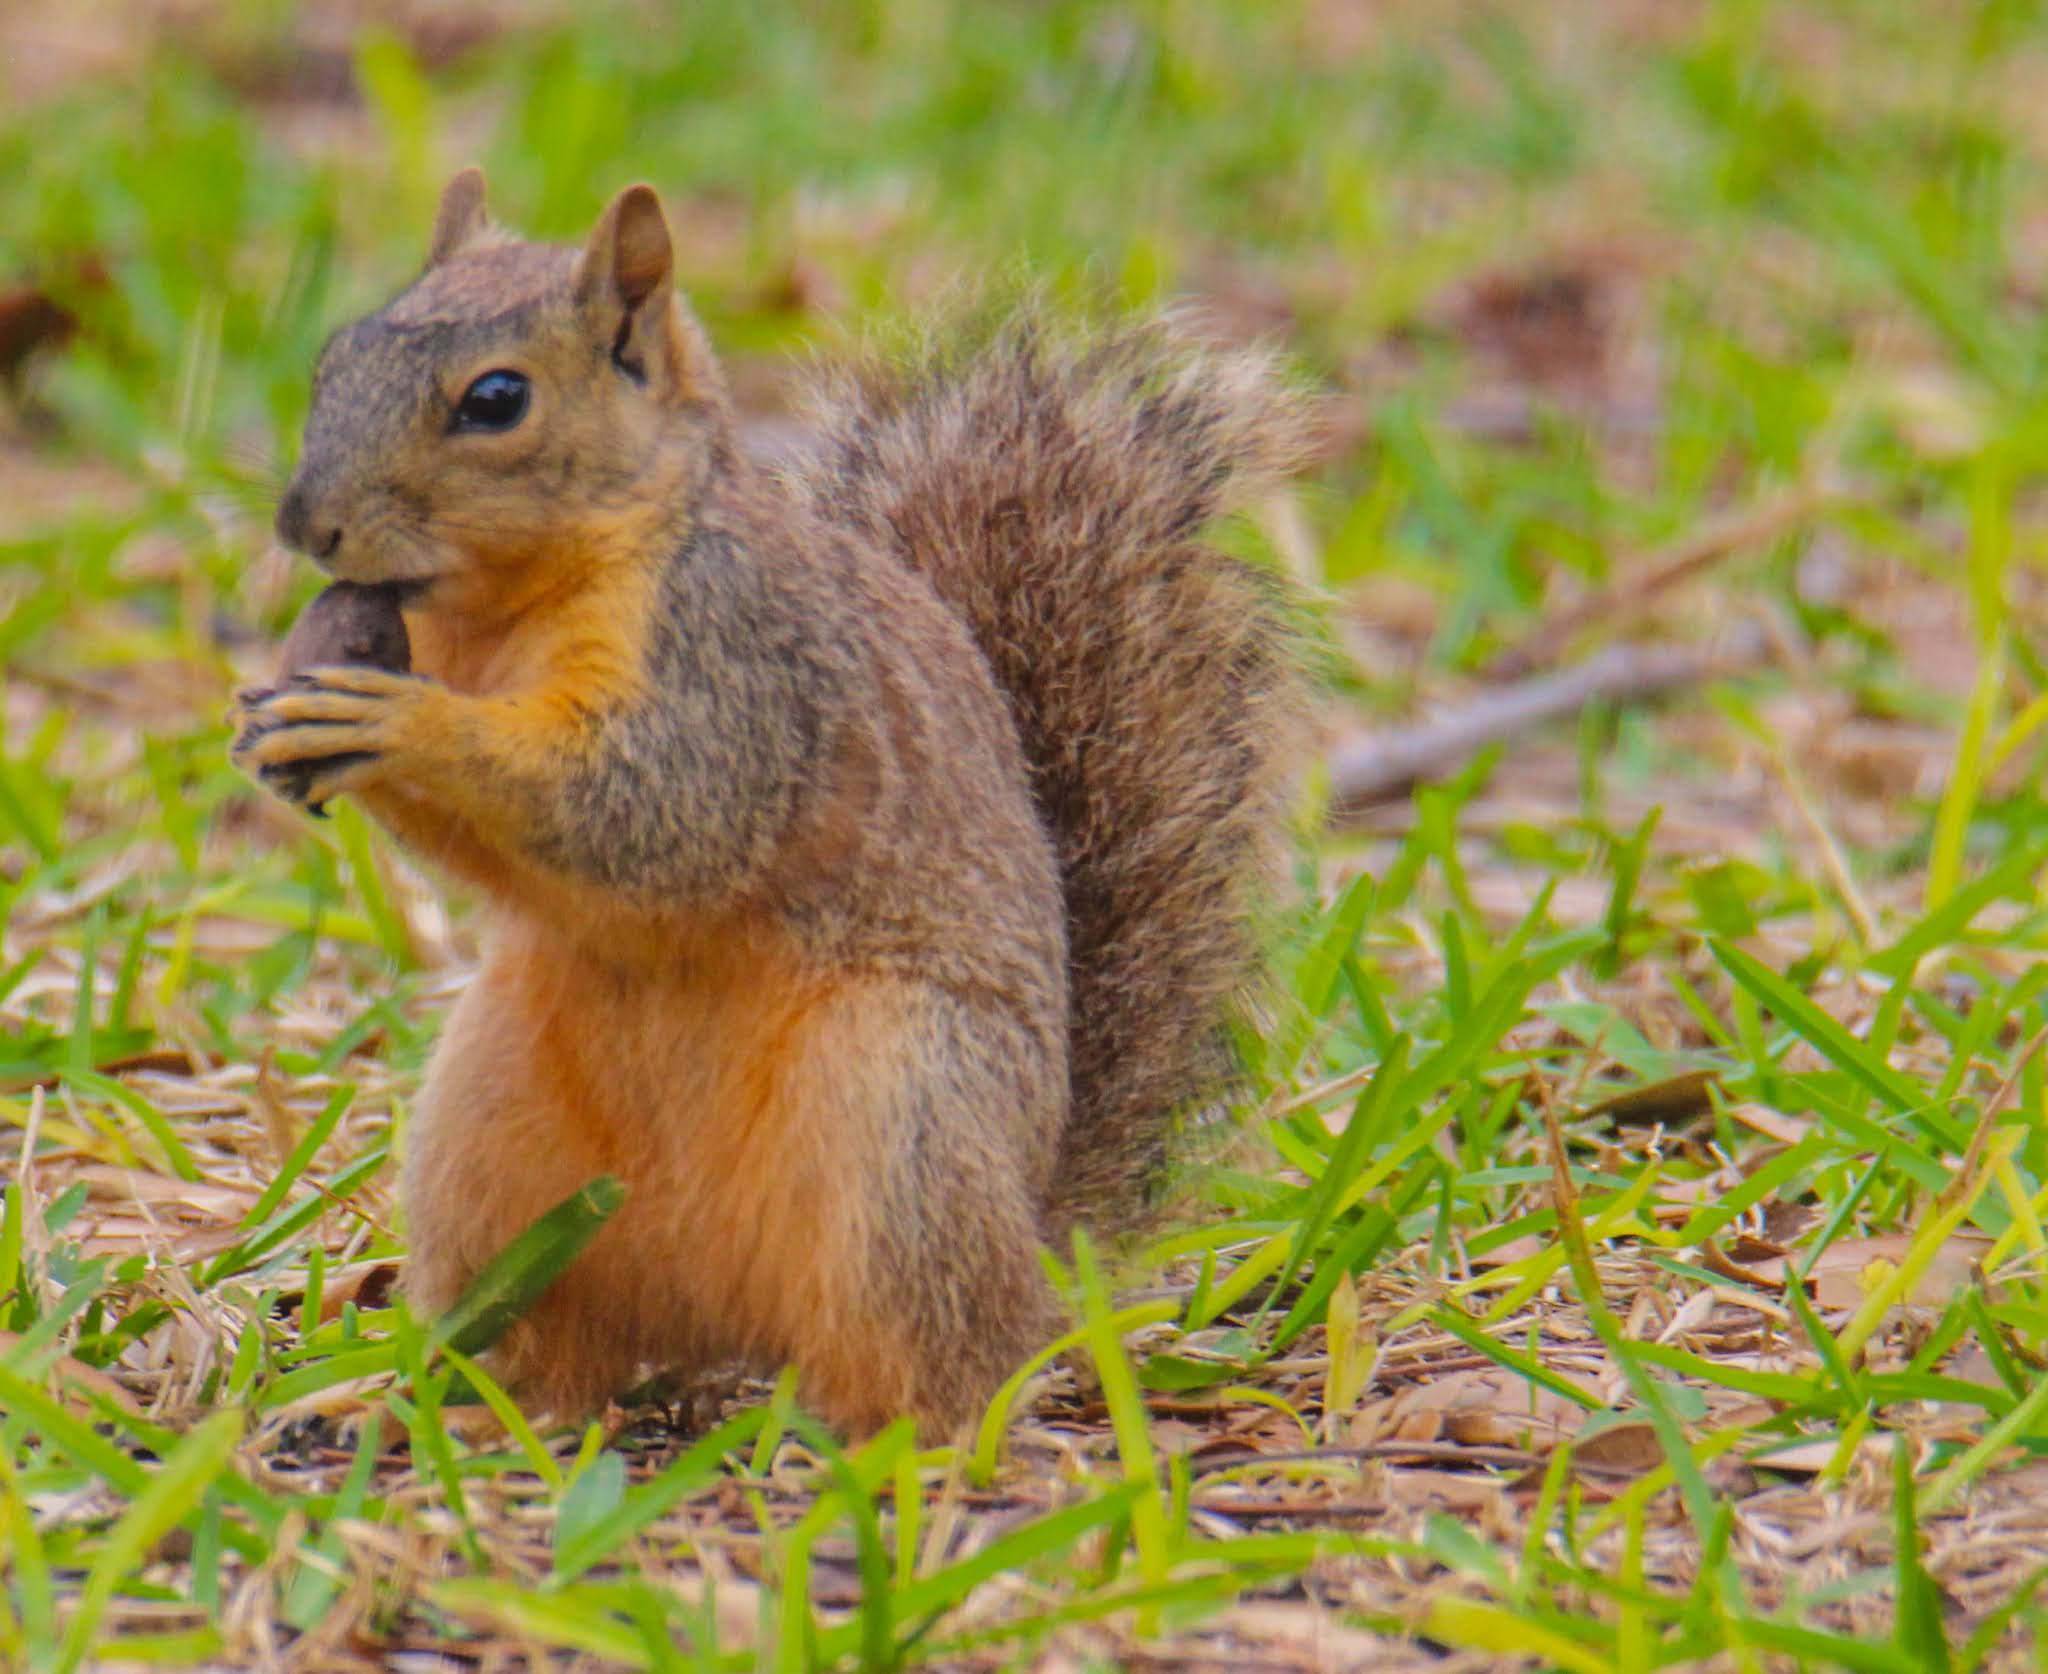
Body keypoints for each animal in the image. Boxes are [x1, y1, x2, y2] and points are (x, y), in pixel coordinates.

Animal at [230, 169, 1311, 1435]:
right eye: (331, 359)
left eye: (496, 400)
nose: (305, 525)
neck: (504, 608)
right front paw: (275, 717)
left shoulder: (734, 660)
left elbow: (654, 804)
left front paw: (399, 725)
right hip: (485, 1150)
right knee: (551, 1347)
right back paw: (447, 1408)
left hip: (899, 1121)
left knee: (943, 1348)